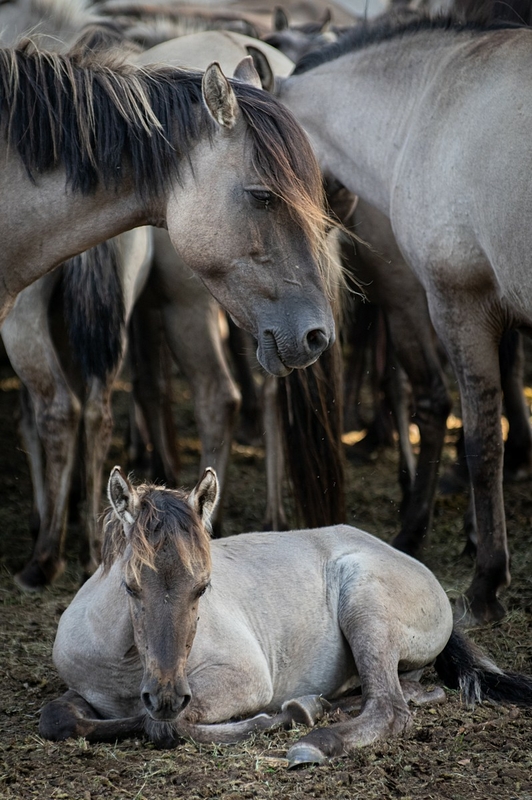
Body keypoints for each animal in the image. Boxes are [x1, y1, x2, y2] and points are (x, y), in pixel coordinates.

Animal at [39, 468, 532, 768]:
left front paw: (275, 719)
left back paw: (315, 738)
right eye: (130, 586)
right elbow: (60, 717)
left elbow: (167, 725)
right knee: (399, 690)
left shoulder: (243, 680)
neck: (126, 663)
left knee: (390, 707)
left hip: (364, 604)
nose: (164, 695)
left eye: (203, 587)